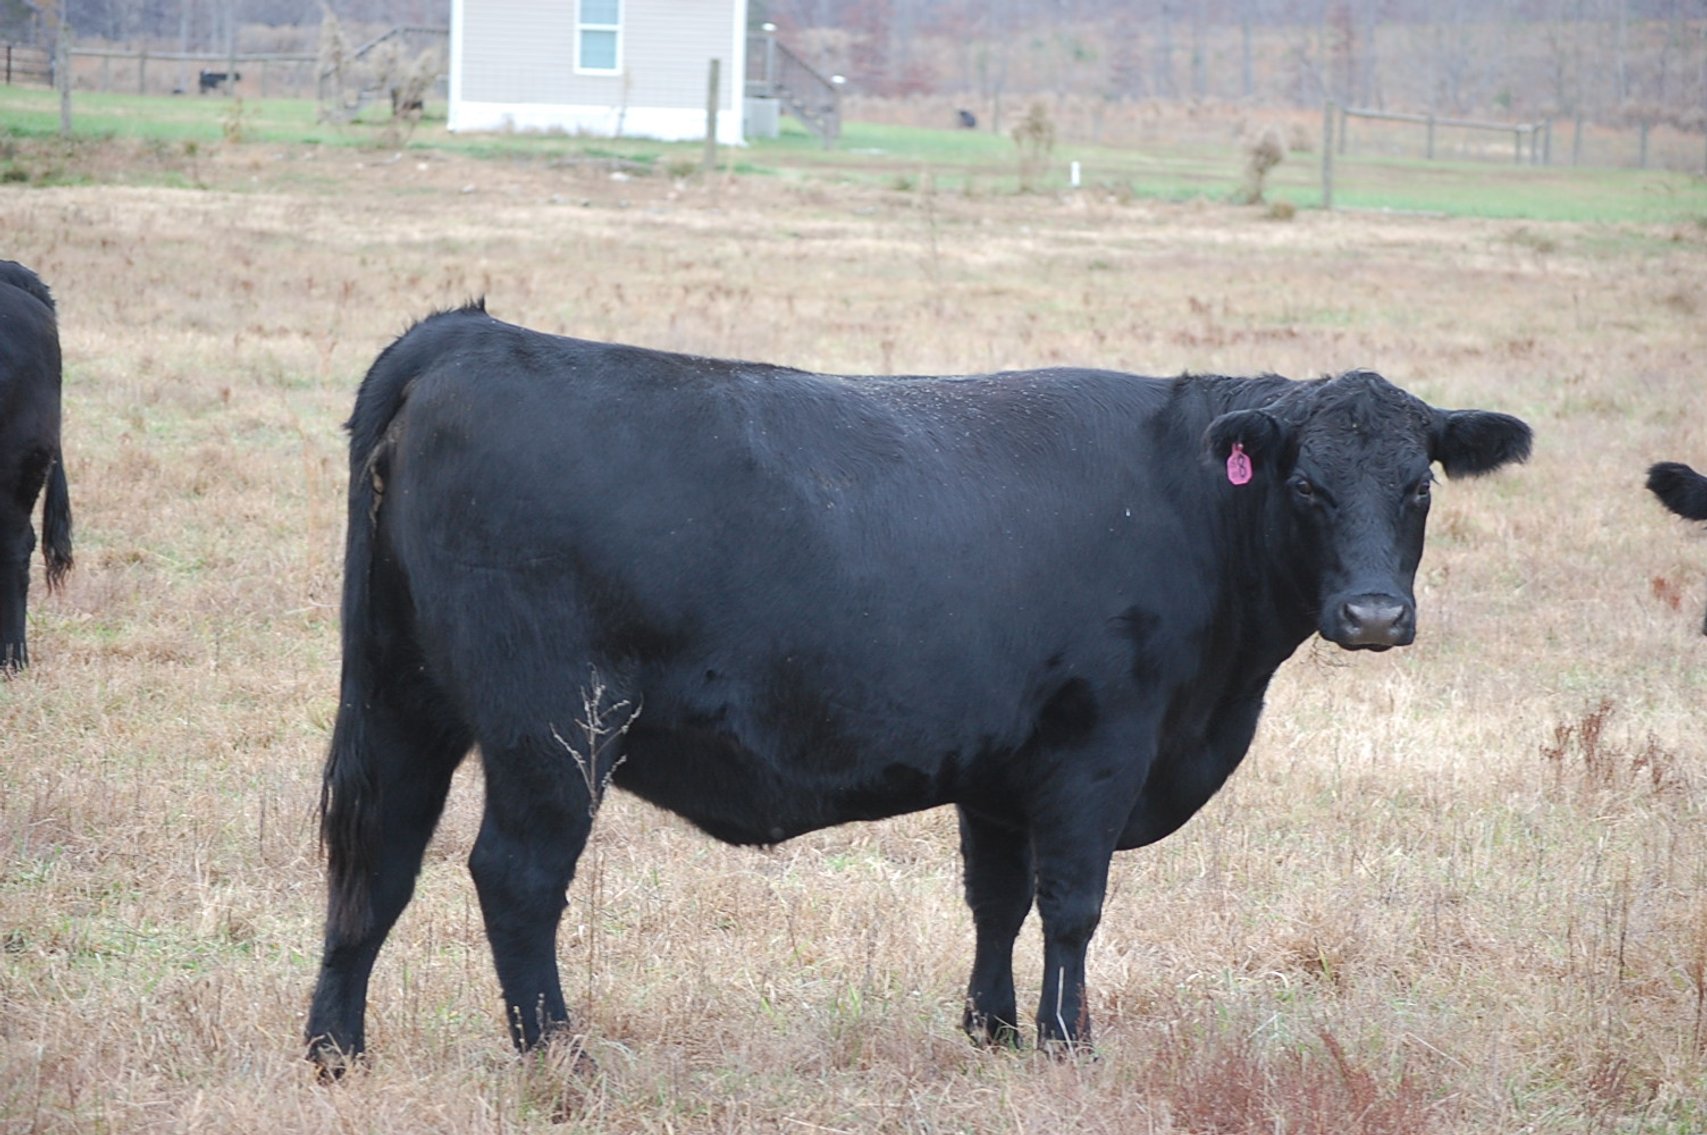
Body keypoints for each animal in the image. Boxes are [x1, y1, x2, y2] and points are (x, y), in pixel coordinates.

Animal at [305, 302, 1532, 1071]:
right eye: (1307, 485)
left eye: (1419, 486)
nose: (1372, 615)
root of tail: (473, 335)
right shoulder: (1098, 747)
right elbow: (1072, 902)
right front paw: (1067, 1043)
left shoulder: (999, 765)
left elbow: (997, 898)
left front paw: (990, 1030)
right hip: (551, 727)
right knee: (513, 877)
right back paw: (563, 1062)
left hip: (405, 700)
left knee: (378, 860)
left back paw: (335, 1053)